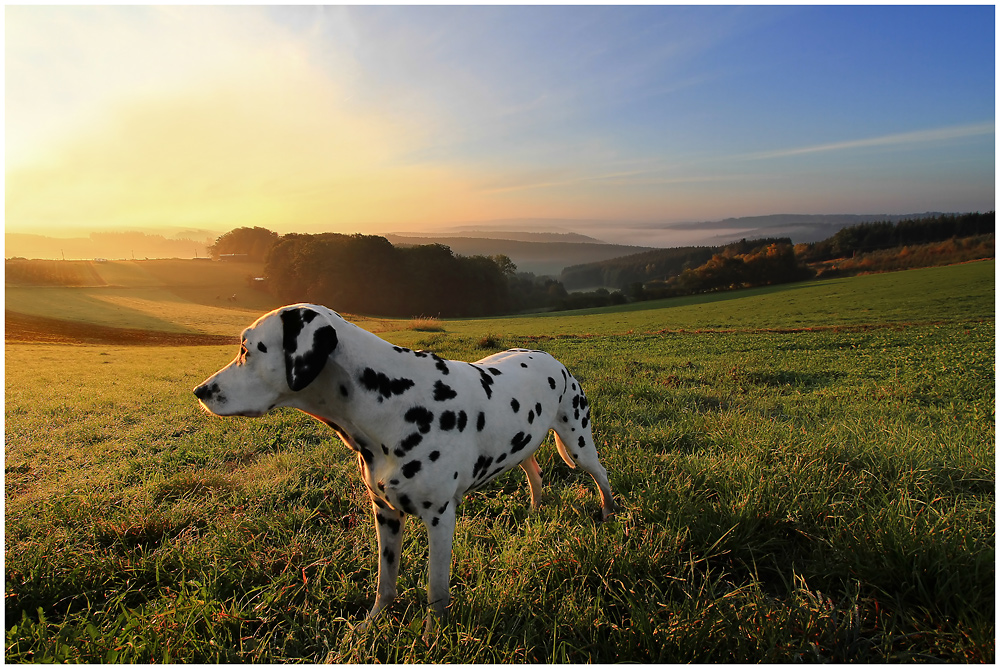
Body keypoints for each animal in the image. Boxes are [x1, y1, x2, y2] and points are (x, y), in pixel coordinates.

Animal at [193, 302, 616, 632]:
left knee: (601, 475)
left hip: (579, 442)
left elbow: (436, 591)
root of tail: (551, 358)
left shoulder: (440, 519)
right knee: (535, 473)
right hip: (523, 445)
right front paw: (370, 625)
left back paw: (609, 513)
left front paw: (432, 638)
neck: (390, 402)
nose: (200, 391)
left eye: (247, 348)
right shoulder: (385, 514)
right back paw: (534, 509)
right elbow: (386, 583)